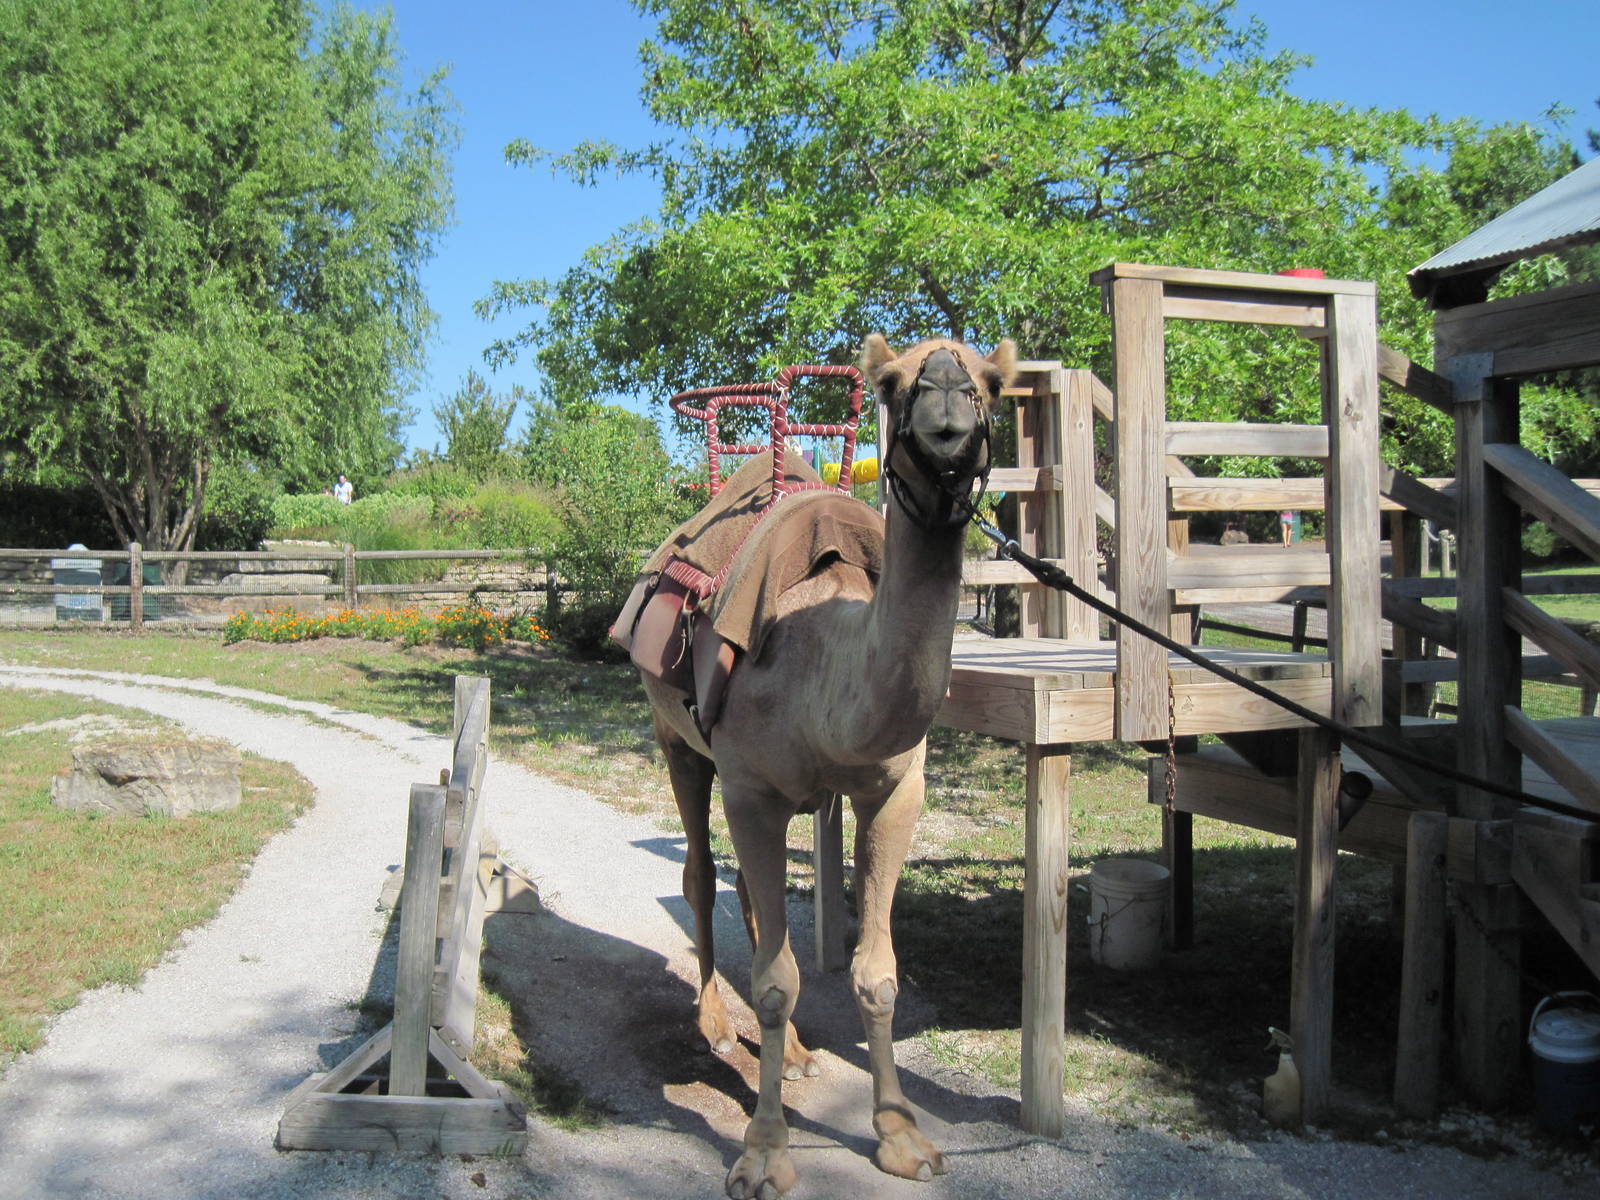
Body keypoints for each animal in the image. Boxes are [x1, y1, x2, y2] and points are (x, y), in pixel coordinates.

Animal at [628, 334, 1017, 1199]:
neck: (824, 654)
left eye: (990, 381)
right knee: (700, 872)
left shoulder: (894, 791)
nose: (947, 401)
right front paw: (764, 1154)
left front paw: (902, 1137)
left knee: (745, 894)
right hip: (676, 739)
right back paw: (715, 1028)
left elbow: (876, 973)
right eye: (893, 382)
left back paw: (802, 1055)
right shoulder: (750, 787)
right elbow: (774, 979)